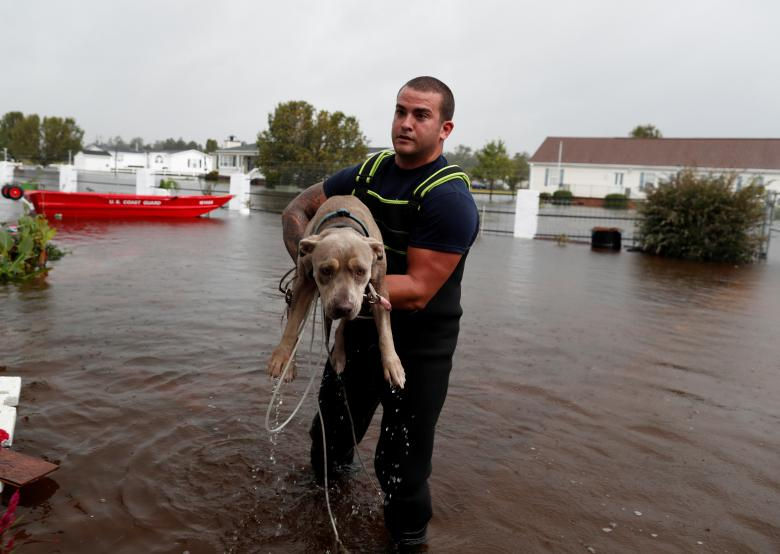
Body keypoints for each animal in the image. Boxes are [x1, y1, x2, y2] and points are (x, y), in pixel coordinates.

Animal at [268, 195, 406, 388]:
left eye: (361, 271)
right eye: (326, 270)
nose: (343, 308)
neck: (343, 227)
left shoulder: (379, 291)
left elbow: (385, 330)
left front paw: (393, 364)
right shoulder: (304, 286)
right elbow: (292, 326)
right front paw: (281, 357)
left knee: (341, 326)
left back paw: (339, 355)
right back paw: (290, 366)